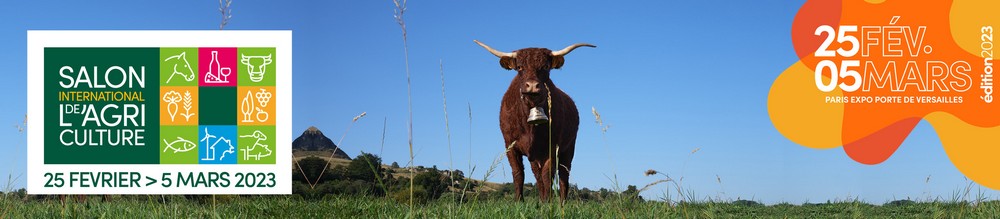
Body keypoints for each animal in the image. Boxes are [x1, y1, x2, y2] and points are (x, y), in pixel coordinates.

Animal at [470, 39, 592, 202]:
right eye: (519, 67)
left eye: (546, 66)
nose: (532, 86)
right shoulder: (510, 145)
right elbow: (518, 173)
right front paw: (519, 201)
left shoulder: (552, 146)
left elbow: (548, 175)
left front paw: (549, 202)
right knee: (538, 175)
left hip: (568, 148)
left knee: (563, 176)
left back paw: (561, 203)